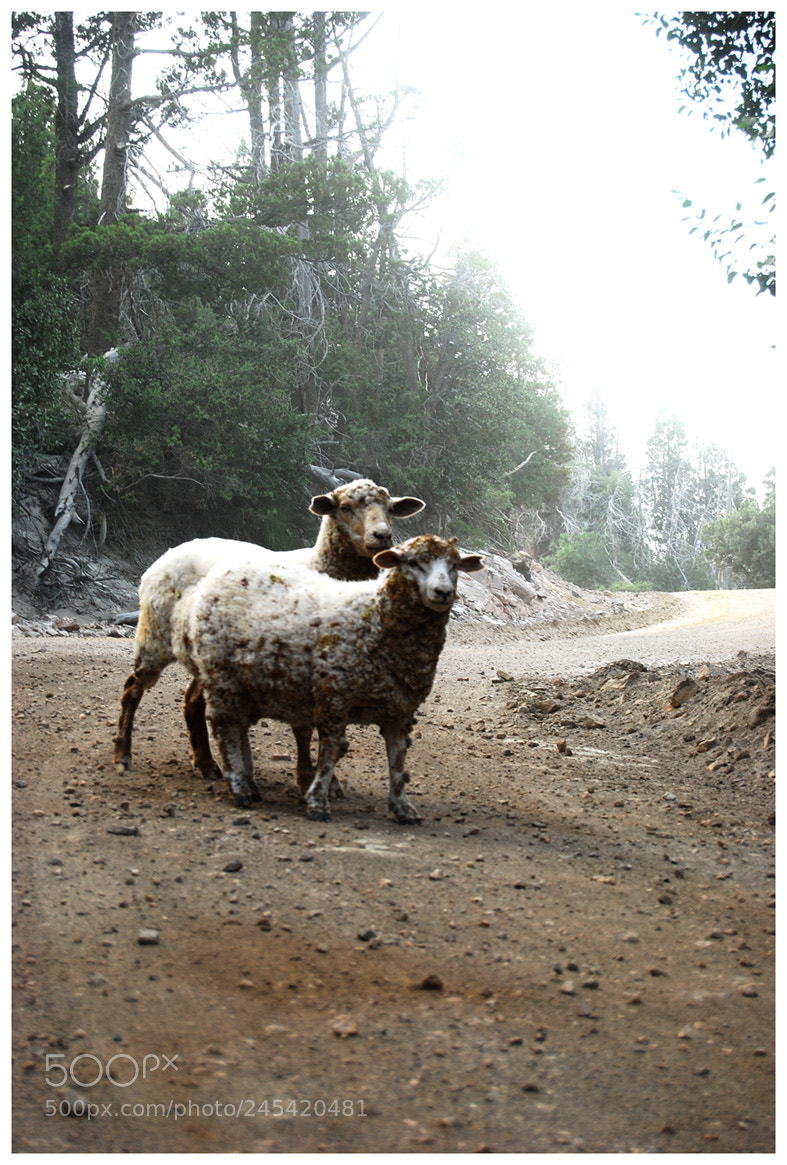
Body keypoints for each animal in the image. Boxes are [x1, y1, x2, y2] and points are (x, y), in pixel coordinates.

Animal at [113, 479, 425, 791]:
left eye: (389, 509)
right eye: (345, 508)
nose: (382, 536)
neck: (318, 566)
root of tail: (169, 553)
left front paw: (328, 780)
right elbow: (305, 728)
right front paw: (308, 778)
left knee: (191, 701)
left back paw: (206, 763)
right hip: (155, 633)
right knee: (132, 689)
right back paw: (123, 754)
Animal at [179, 535, 484, 822]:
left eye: (455, 565)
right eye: (412, 563)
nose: (443, 592)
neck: (375, 618)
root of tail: (221, 572)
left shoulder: (400, 710)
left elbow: (398, 761)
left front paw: (403, 808)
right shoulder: (333, 694)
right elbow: (330, 752)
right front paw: (318, 802)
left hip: (246, 684)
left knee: (239, 727)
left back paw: (250, 784)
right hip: (221, 675)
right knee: (226, 729)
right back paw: (239, 787)